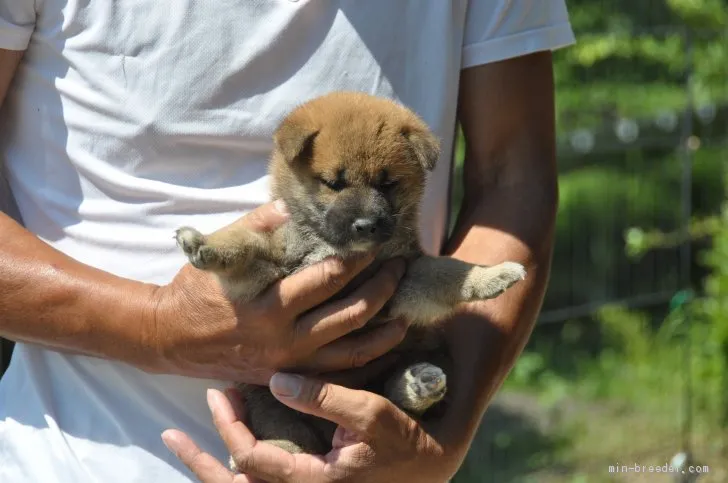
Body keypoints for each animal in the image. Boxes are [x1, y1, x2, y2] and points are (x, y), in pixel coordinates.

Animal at [176, 91, 528, 466]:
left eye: (387, 184)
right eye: (334, 183)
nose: (366, 225)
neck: (330, 245)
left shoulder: (403, 275)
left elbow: (449, 271)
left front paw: (492, 274)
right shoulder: (271, 269)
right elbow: (244, 245)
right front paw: (207, 245)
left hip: (418, 349)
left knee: (394, 396)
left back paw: (418, 383)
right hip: (266, 388)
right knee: (284, 425)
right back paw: (280, 449)